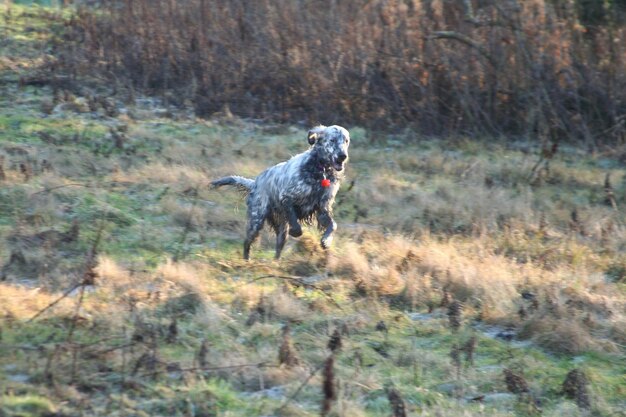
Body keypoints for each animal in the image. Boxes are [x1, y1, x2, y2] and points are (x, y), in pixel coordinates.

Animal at [211, 125, 348, 258]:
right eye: (332, 140)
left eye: (346, 141)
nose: (343, 156)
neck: (320, 171)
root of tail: (255, 182)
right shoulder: (286, 198)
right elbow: (296, 226)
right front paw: (296, 231)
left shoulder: (322, 209)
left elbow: (333, 225)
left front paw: (326, 241)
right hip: (256, 221)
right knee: (247, 243)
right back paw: (246, 261)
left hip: (280, 230)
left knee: (277, 250)